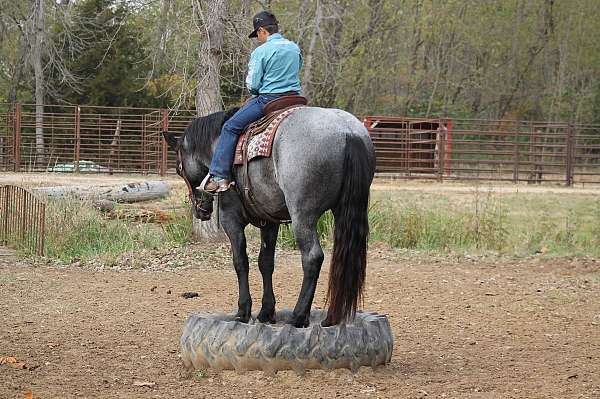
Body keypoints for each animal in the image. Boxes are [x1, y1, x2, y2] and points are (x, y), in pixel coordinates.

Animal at [164, 107, 376, 328]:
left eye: (178, 168)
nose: (201, 209)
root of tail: (347, 131)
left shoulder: (231, 219)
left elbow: (240, 262)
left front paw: (243, 311)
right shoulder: (270, 222)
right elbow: (265, 262)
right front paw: (266, 312)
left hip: (302, 215)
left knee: (312, 257)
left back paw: (299, 316)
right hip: (344, 210)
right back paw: (331, 318)